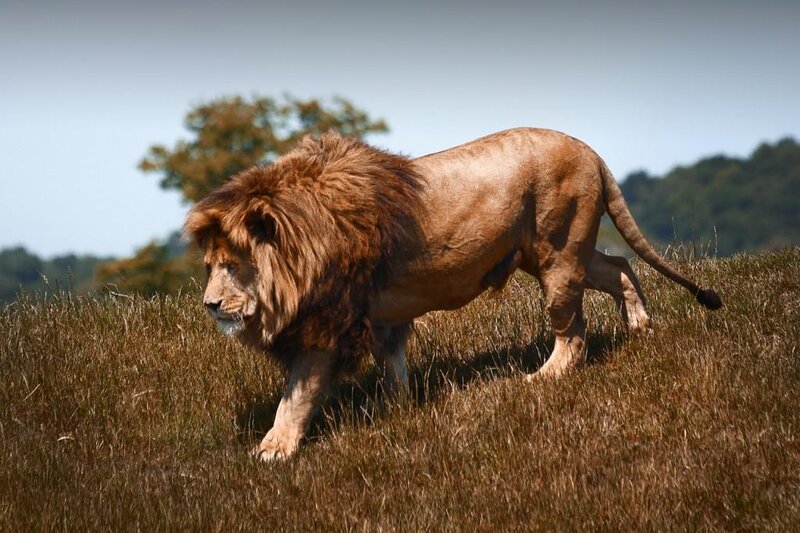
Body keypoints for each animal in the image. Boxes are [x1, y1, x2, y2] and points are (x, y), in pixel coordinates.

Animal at [185, 128, 722, 460]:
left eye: (232, 266)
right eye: (209, 268)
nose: (210, 305)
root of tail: (591, 150)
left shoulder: (328, 323)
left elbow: (296, 394)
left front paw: (273, 449)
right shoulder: (381, 317)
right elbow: (394, 364)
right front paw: (397, 411)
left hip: (559, 253)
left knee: (573, 332)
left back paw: (541, 378)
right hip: (558, 252)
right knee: (621, 267)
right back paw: (641, 325)